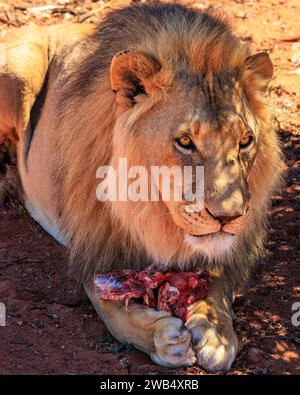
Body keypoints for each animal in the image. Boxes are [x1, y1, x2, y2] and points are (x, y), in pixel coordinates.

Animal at [0, 2, 282, 372]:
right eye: (185, 142)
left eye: (245, 141)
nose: (229, 217)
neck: (154, 212)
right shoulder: (95, 247)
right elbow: (111, 310)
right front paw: (162, 337)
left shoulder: (225, 249)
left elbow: (219, 282)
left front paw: (216, 333)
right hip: (20, 71)